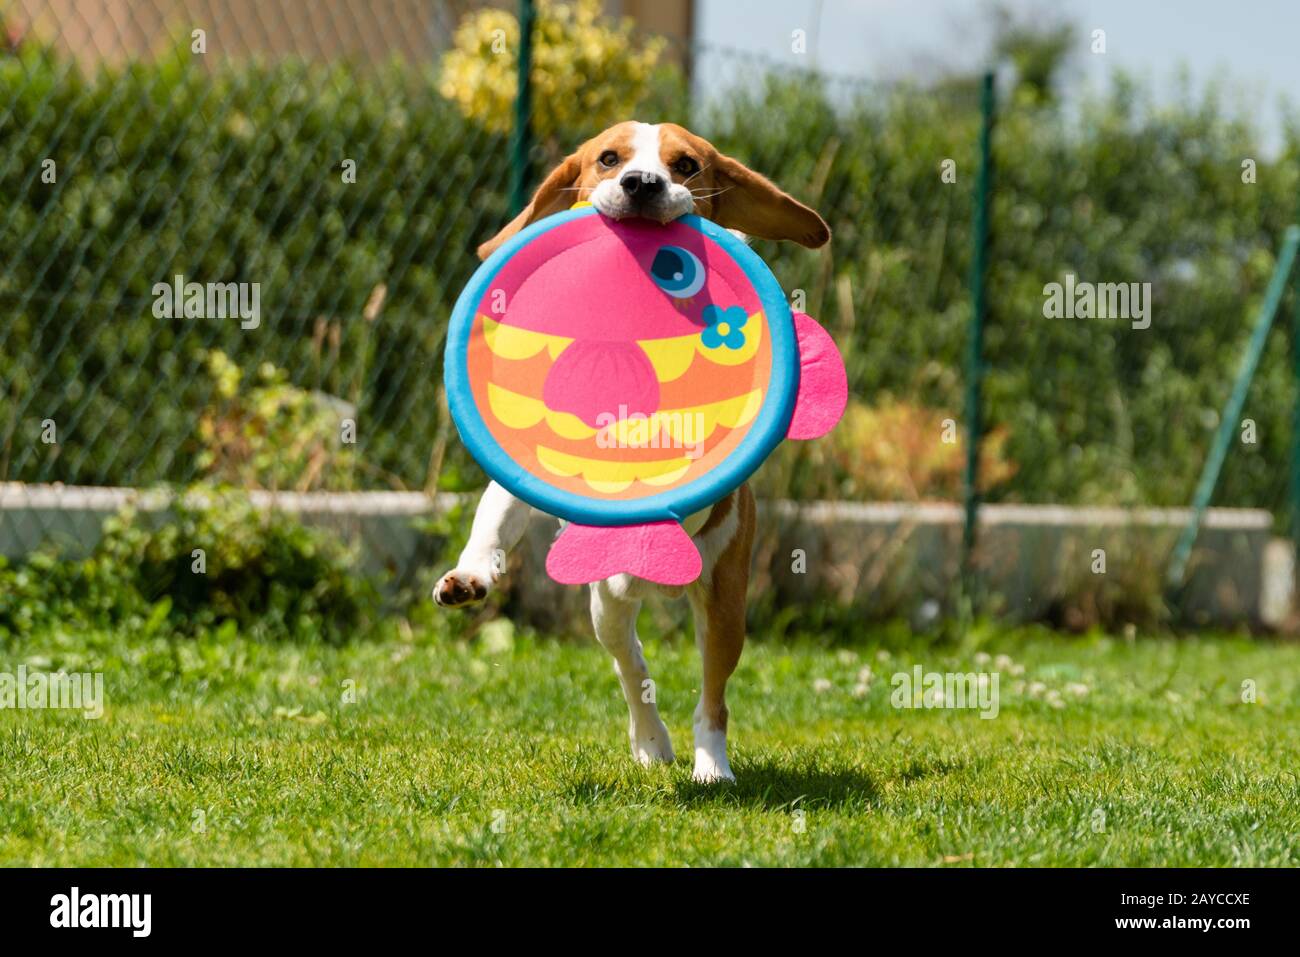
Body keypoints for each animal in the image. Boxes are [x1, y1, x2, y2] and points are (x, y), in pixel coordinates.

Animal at [431, 119, 826, 780]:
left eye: (686, 164)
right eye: (608, 159)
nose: (642, 183)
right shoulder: (524, 470)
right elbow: (493, 522)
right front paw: (468, 578)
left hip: (725, 601)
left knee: (712, 696)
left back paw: (710, 765)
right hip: (608, 618)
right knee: (631, 661)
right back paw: (650, 742)